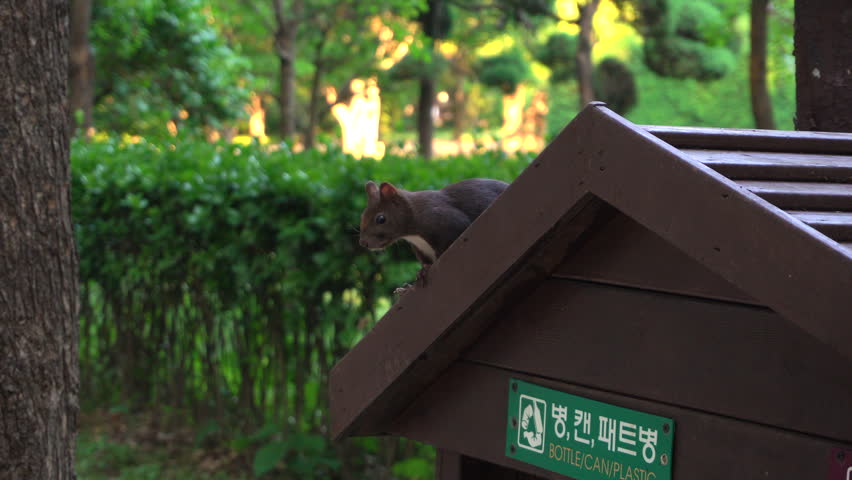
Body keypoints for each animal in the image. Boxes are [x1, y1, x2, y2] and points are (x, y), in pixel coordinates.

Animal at [359, 178, 509, 292]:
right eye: (363, 216)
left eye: (381, 219)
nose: (363, 243)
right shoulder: (421, 249)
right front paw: (415, 278)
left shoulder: (447, 220)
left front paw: (425, 271)